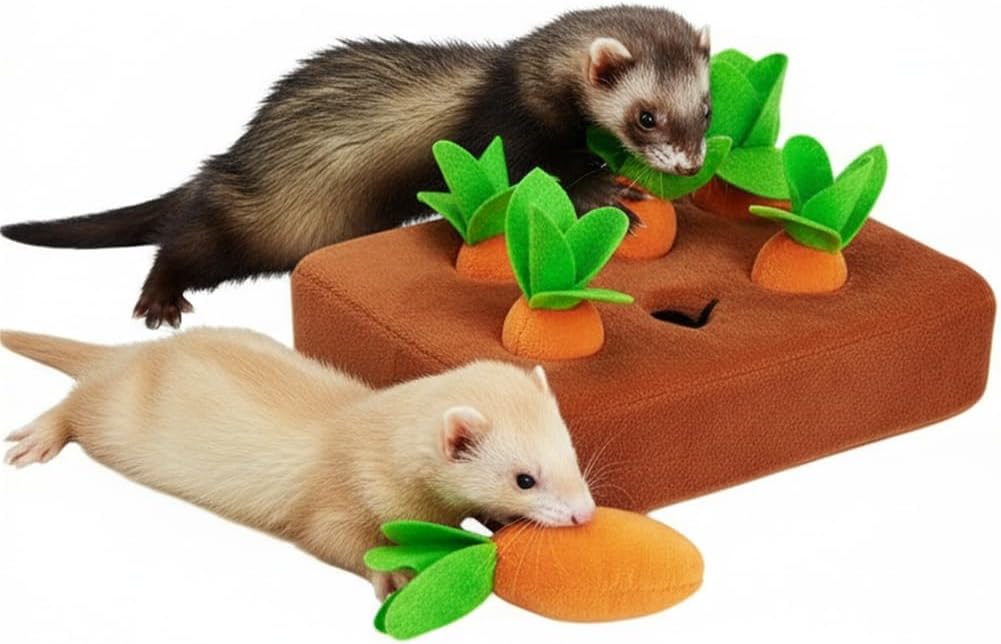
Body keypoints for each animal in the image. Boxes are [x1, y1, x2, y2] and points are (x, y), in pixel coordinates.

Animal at [1, 6, 711, 329]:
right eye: (647, 116)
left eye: (705, 108)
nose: (687, 162)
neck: (514, 78)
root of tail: (222, 163)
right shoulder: (500, 133)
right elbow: (525, 176)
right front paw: (603, 189)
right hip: (246, 225)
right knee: (181, 243)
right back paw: (159, 299)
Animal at [1, 327, 595, 599]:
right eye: (524, 479)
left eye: (570, 449)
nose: (585, 514)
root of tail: (132, 353)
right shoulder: (335, 500)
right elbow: (334, 540)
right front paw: (394, 573)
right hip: (109, 420)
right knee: (74, 405)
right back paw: (38, 437)